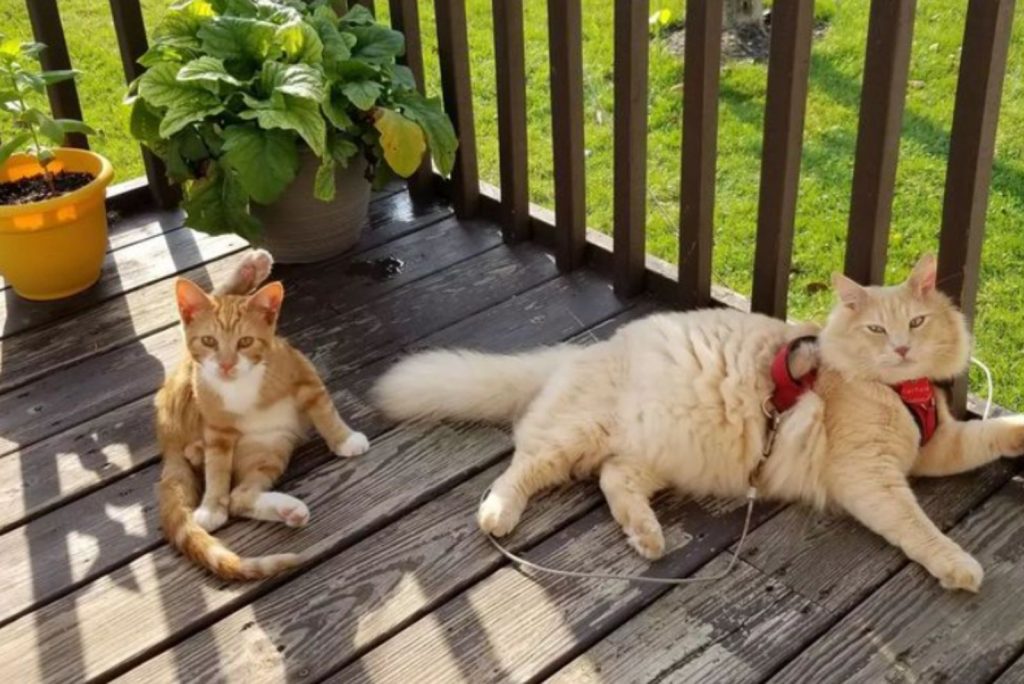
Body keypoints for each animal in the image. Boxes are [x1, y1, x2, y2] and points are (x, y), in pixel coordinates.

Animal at [155, 248, 368, 581]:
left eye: (245, 342)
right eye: (209, 341)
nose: (226, 365)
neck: (240, 387)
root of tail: (167, 433)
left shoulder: (303, 373)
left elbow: (324, 410)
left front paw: (344, 439)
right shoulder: (216, 426)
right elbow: (217, 468)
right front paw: (211, 507)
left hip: (269, 449)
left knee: (240, 497)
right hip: (193, 388)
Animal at [374, 255, 1024, 593]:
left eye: (916, 323)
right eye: (875, 330)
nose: (900, 349)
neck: (901, 391)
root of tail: (579, 353)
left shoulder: (937, 447)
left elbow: (992, 435)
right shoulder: (869, 475)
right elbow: (919, 529)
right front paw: (958, 565)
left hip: (654, 458)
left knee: (613, 481)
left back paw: (648, 538)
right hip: (574, 437)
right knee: (519, 470)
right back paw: (499, 515)